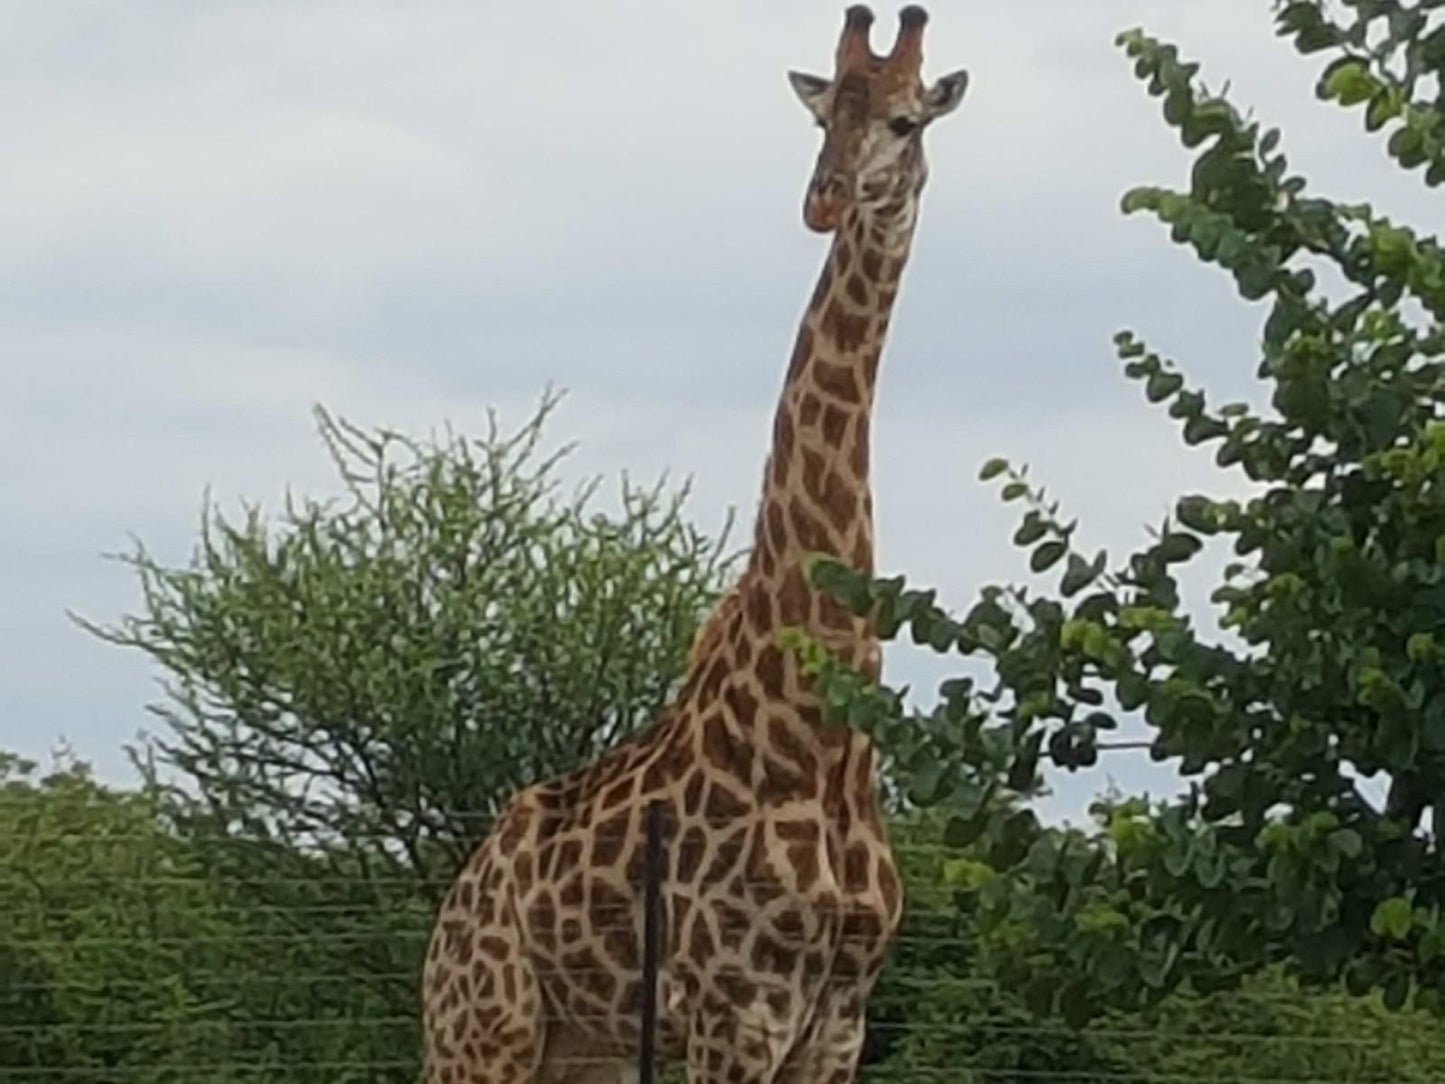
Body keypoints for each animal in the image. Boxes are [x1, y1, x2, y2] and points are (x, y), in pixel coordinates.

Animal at [421, 8, 971, 1084]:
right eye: (821, 121)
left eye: (904, 119)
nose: (823, 199)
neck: (818, 740)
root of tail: (454, 905)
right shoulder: (734, 1011)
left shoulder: (836, 1020)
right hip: (481, 1031)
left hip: (578, 1047)